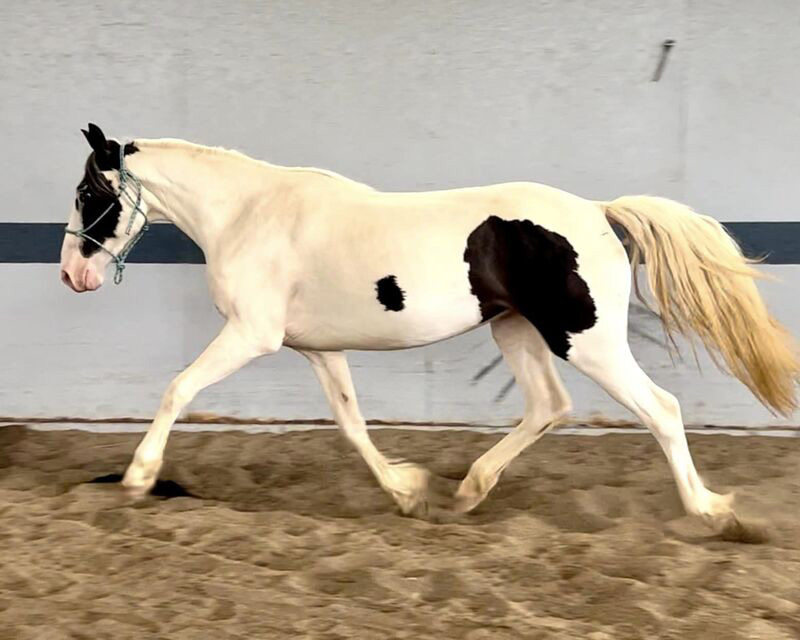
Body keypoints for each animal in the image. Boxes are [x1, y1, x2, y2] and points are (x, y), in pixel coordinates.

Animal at [59, 122, 796, 528]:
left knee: (661, 409)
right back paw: (467, 492)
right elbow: (353, 426)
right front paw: (407, 492)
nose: (72, 275)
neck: (250, 214)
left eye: (90, 194)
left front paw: (138, 479)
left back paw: (712, 513)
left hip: (585, 340)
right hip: (516, 330)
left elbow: (178, 389)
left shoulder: (250, 336)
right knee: (548, 406)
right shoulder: (317, 350)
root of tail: (597, 211)